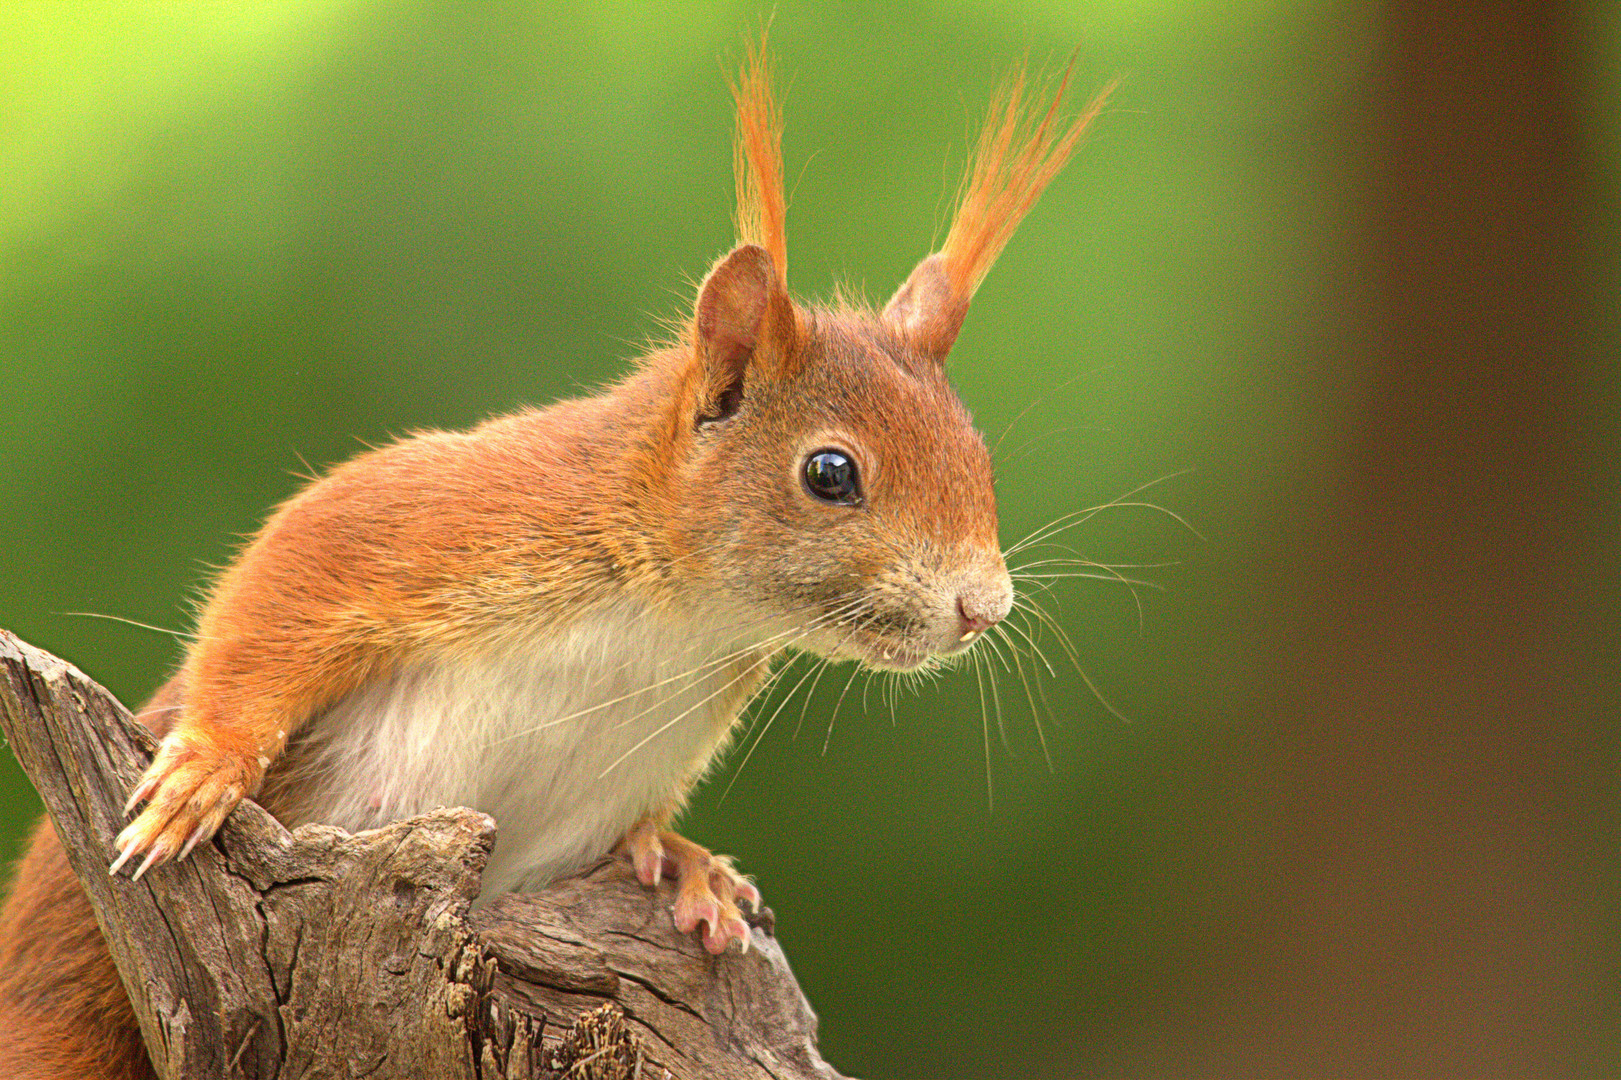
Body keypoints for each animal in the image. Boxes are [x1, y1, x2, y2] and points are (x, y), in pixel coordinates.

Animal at [0, 39, 1102, 1076]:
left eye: (976, 455)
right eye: (830, 473)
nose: (983, 608)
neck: (677, 620)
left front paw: (686, 862)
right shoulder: (432, 519)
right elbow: (276, 598)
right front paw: (206, 766)